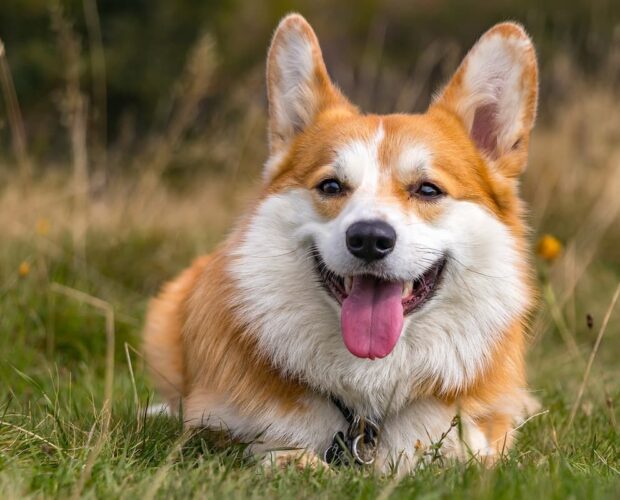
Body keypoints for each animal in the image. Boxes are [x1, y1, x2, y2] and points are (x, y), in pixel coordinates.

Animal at [143, 12, 540, 472]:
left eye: (427, 189)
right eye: (331, 186)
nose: (369, 239)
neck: (366, 404)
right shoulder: (215, 427)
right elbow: (271, 449)